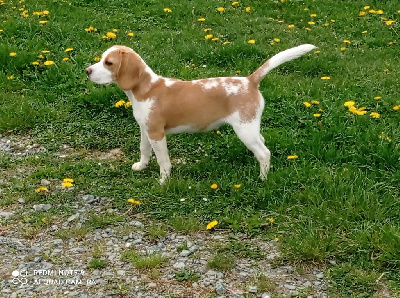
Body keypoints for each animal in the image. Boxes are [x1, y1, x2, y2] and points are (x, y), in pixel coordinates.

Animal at [86, 43, 316, 184]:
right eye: (101, 59)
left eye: (108, 63)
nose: (87, 71)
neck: (147, 88)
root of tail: (249, 80)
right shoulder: (145, 130)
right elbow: (144, 150)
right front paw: (141, 166)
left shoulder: (157, 134)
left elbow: (163, 161)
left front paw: (163, 181)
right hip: (250, 127)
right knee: (262, 143)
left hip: (244, 130)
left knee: (264, 153)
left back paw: (262, 179)